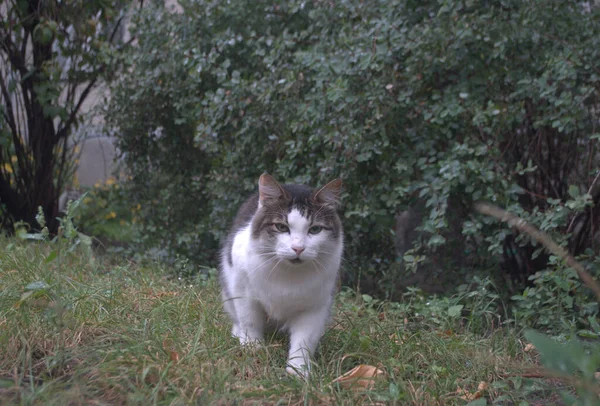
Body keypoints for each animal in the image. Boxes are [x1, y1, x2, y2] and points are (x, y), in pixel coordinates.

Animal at [219, 174, 342, 378]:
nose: (298, 248)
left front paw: (298, 371)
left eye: (315, 229)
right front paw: (253, 349)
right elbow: (249, 321)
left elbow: (303, 341)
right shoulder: (243, 291)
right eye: (281, 227)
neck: (288, 275)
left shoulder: (315, 306)